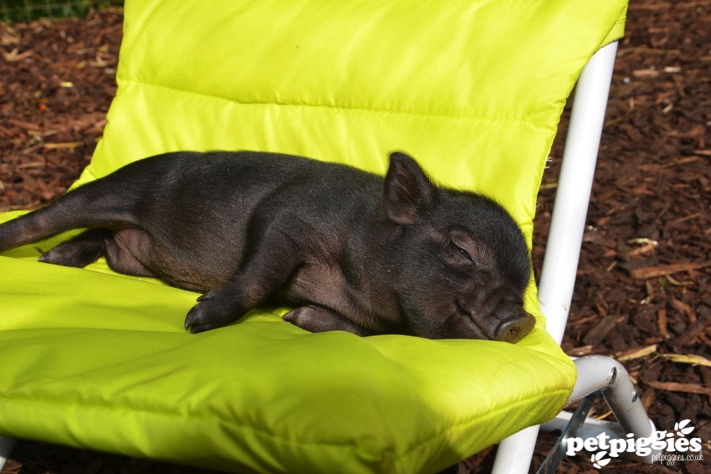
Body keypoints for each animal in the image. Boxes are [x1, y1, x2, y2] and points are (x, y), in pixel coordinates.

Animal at [0, 151, 535, 342]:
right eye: (462, 251)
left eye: (523, 282)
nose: (522, 320)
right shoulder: (285, 220)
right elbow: (259, 275)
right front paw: (196, 320)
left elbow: (358, 334)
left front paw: (298, 319)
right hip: (116, 187)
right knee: (47, 216)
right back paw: (33, 250)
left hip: (131, 256)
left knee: (103, 239)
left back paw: (56, 259)